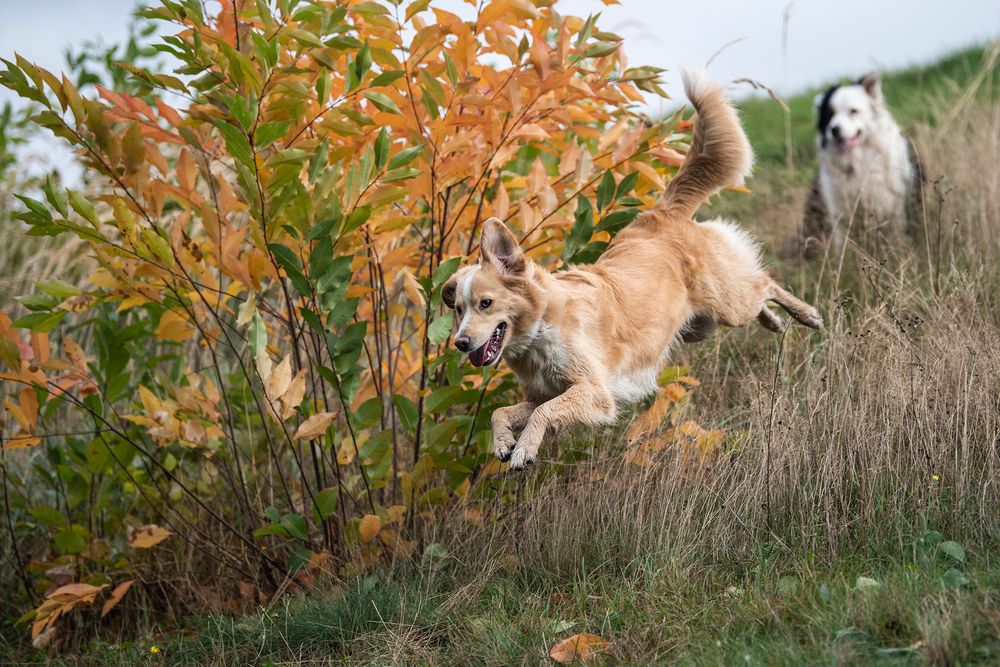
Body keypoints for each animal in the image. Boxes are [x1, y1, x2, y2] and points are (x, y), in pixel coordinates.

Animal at [444, 72, 820, 470]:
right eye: (458, 310)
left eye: (485, 303)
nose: (460, 343)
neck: (541, 326)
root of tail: (661, 213)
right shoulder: (540, 393)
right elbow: (502, 411)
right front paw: (503, 443)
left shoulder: (595, 391)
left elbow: (544, 413)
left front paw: (524, 449)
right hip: (699, 327)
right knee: (754, 297)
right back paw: (774, 321)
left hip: (727, 305)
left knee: (763, 284)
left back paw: (805, 314)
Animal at [792, 73, 924, 258]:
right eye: (830, 114)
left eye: (853, 111)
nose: (834, 129)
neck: (859, 161)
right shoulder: (838, 208)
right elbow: (841, 242)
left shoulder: (895, 203)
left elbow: (899, 232)